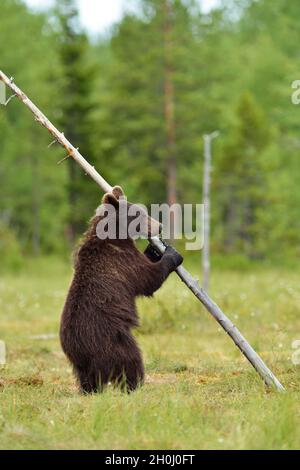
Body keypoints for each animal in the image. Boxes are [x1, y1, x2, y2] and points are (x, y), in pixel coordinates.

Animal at [59, 185, 183, 392]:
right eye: (140, 214)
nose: (159, 226)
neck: (115, 234)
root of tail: (80, 351)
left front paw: (154, 249)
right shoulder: (121, 261)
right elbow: (147, 279)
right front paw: (171, 254)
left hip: (83, 361)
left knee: (88, 379)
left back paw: (90, 390)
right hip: (112, 339)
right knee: (131, 360)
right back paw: (135, 384)